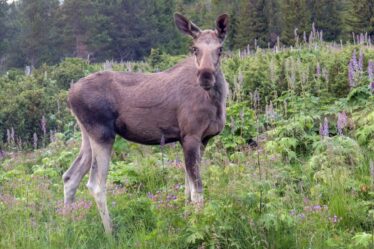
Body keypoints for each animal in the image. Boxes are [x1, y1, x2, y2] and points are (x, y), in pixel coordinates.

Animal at [62, 12, 229, 232]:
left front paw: (187, 219)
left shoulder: (203, 138)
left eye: (220, 49)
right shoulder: (190, 135)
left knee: (70, 177)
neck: (217, 101)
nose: (206, 76)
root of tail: (69, 95)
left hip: (87, 134)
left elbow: (187, 187)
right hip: (102, 134)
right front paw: (199, 225)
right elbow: (197, 190)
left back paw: (67, 225)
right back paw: (110, 232)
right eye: (194, 48)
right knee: (96, 184)